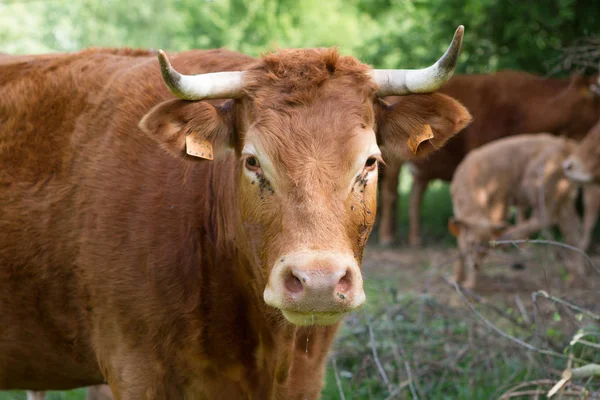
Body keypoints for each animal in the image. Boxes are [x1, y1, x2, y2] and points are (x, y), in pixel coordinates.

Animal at [450, 134, 584, 288]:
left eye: (487, 247)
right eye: (471, 243)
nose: (476, 265)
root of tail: (567, 144)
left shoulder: (501, 200)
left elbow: (497, 223)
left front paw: (469, 285)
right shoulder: (459, 214)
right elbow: (460, 242)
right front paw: (455, 278)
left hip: (539, 184)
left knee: (546, 218)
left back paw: (508, 237)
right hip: (564, 197)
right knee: (572, 229)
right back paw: (575, 278)